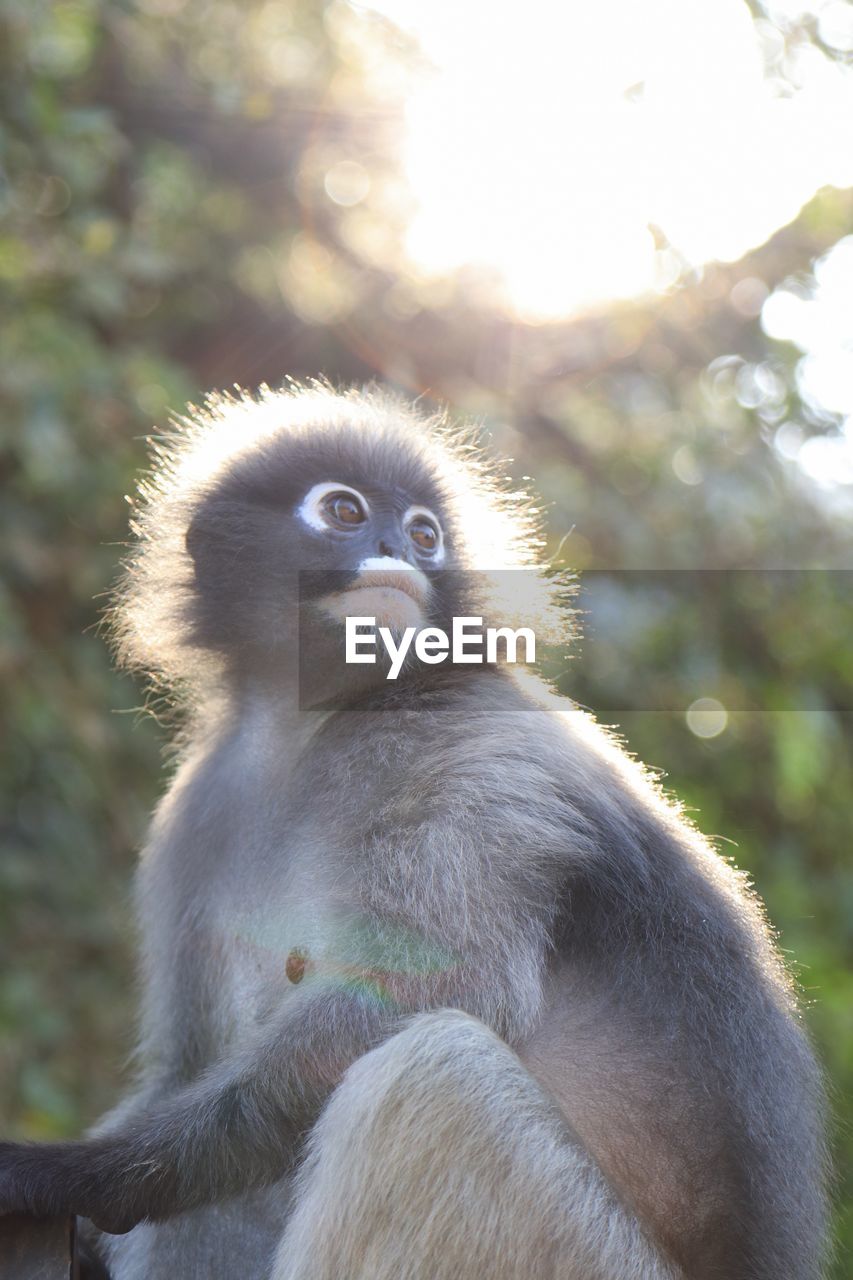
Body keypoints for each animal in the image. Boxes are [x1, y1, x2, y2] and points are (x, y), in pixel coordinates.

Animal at [0, 386, 824, 1280]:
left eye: (426, 533)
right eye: (344, 510)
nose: (399, 547)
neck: (313, 724)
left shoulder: (469, 751)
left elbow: (429, 997)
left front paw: (65, 1174)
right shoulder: (200, 802)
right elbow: (184, 1064)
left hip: (578, 1248)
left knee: (431, 1074)